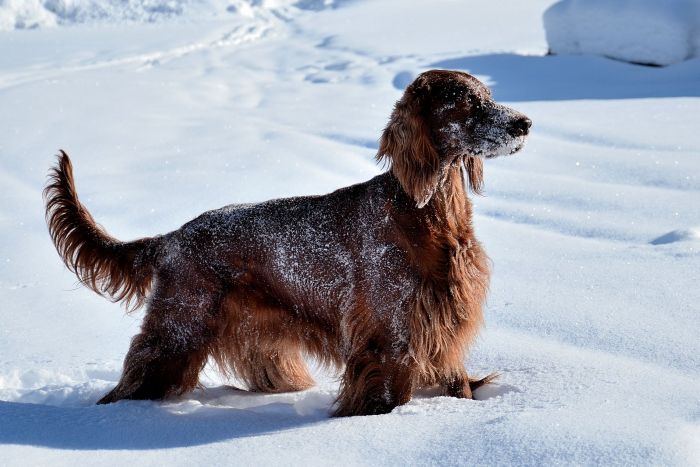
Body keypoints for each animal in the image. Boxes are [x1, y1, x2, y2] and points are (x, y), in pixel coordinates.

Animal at [45, 70, 532, 416]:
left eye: (488, 95)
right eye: (467, 102)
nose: (524, 122)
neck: (425, 211)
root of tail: (173, 238)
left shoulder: (444, 321)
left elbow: (458, 384)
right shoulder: (392, 333)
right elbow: (389, 393)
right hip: (178, 331)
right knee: (134, 380)